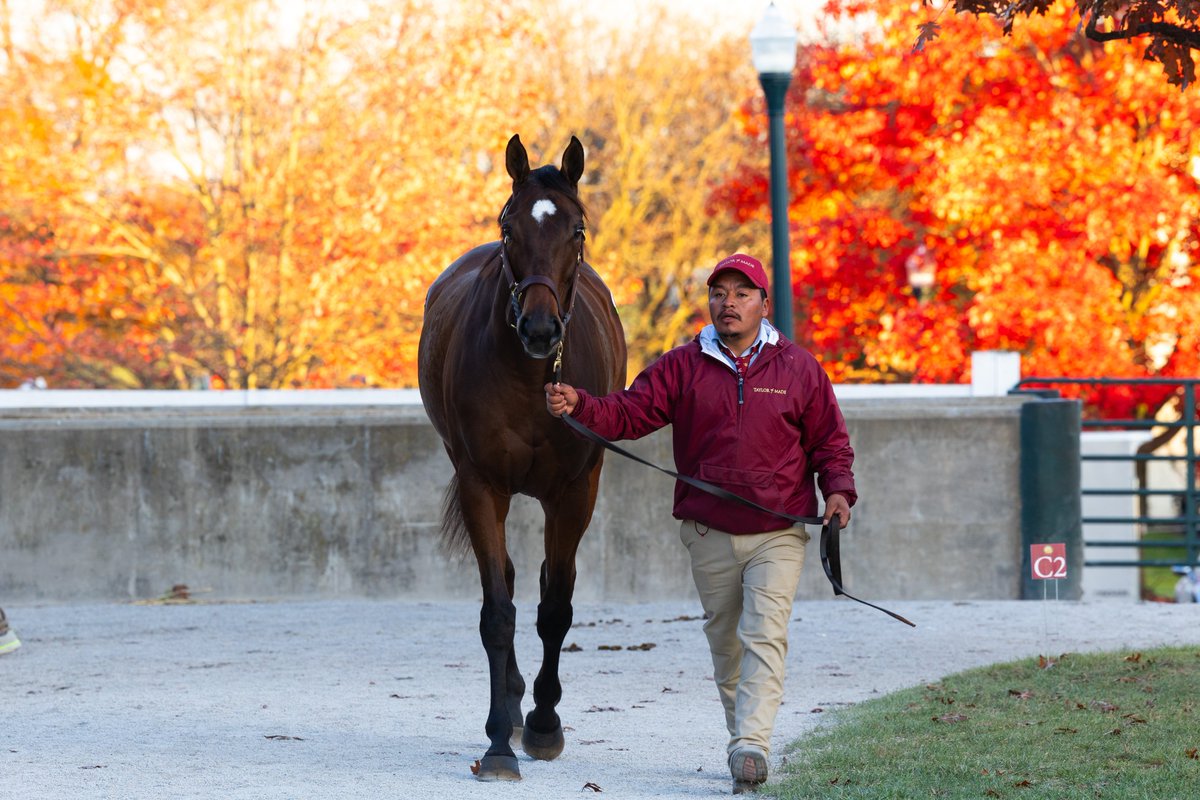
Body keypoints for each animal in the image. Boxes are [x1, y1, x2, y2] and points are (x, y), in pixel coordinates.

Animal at [420, 134, 628, 777]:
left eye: (577, 230)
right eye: (509, 227)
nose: (540, 329)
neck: (531, 377)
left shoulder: (576, 491)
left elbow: (555, 606)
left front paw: (544, 723)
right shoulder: (481, 483)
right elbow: (499, 610)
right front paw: (498, 741)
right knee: (509, 581)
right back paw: (511, 703)